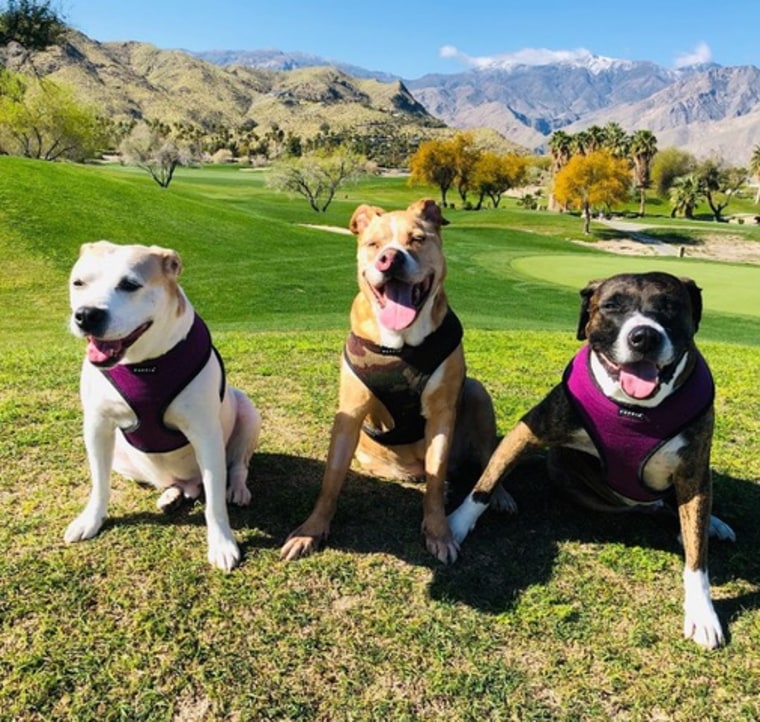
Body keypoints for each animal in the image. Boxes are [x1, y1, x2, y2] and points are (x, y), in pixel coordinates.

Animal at [63, 242, 258, 568]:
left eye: (130, 285)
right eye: (79, 283)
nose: (87, 315)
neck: (144, 364)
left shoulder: (206, 434)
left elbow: (215, 501)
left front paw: (222, 543)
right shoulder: (97, 426)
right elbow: (99, 482)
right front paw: (90, 519)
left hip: (248, 411)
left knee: (237, 466)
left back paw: (237, 489)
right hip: (123, 458)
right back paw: (171, 495)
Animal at [280, 198, 510, 564]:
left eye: (417, 239)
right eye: (373, 244)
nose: (390, 258)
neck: (400, 343)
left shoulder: (442, 415)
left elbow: (436, 480)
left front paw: (439, 533)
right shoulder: (349, 413)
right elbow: (331, 479)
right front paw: (310, 531)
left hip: (477, 394)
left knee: (488, 460)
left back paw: (499, 495)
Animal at [448, 272, 732, 648]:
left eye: (670, 306)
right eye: (611, 305)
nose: (644, 336)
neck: (636, 410)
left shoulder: (693, 469)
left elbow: (697, 558)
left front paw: (702, 612)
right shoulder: (529, 430)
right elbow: (486, 481)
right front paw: (455, 525)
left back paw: (709, 524)